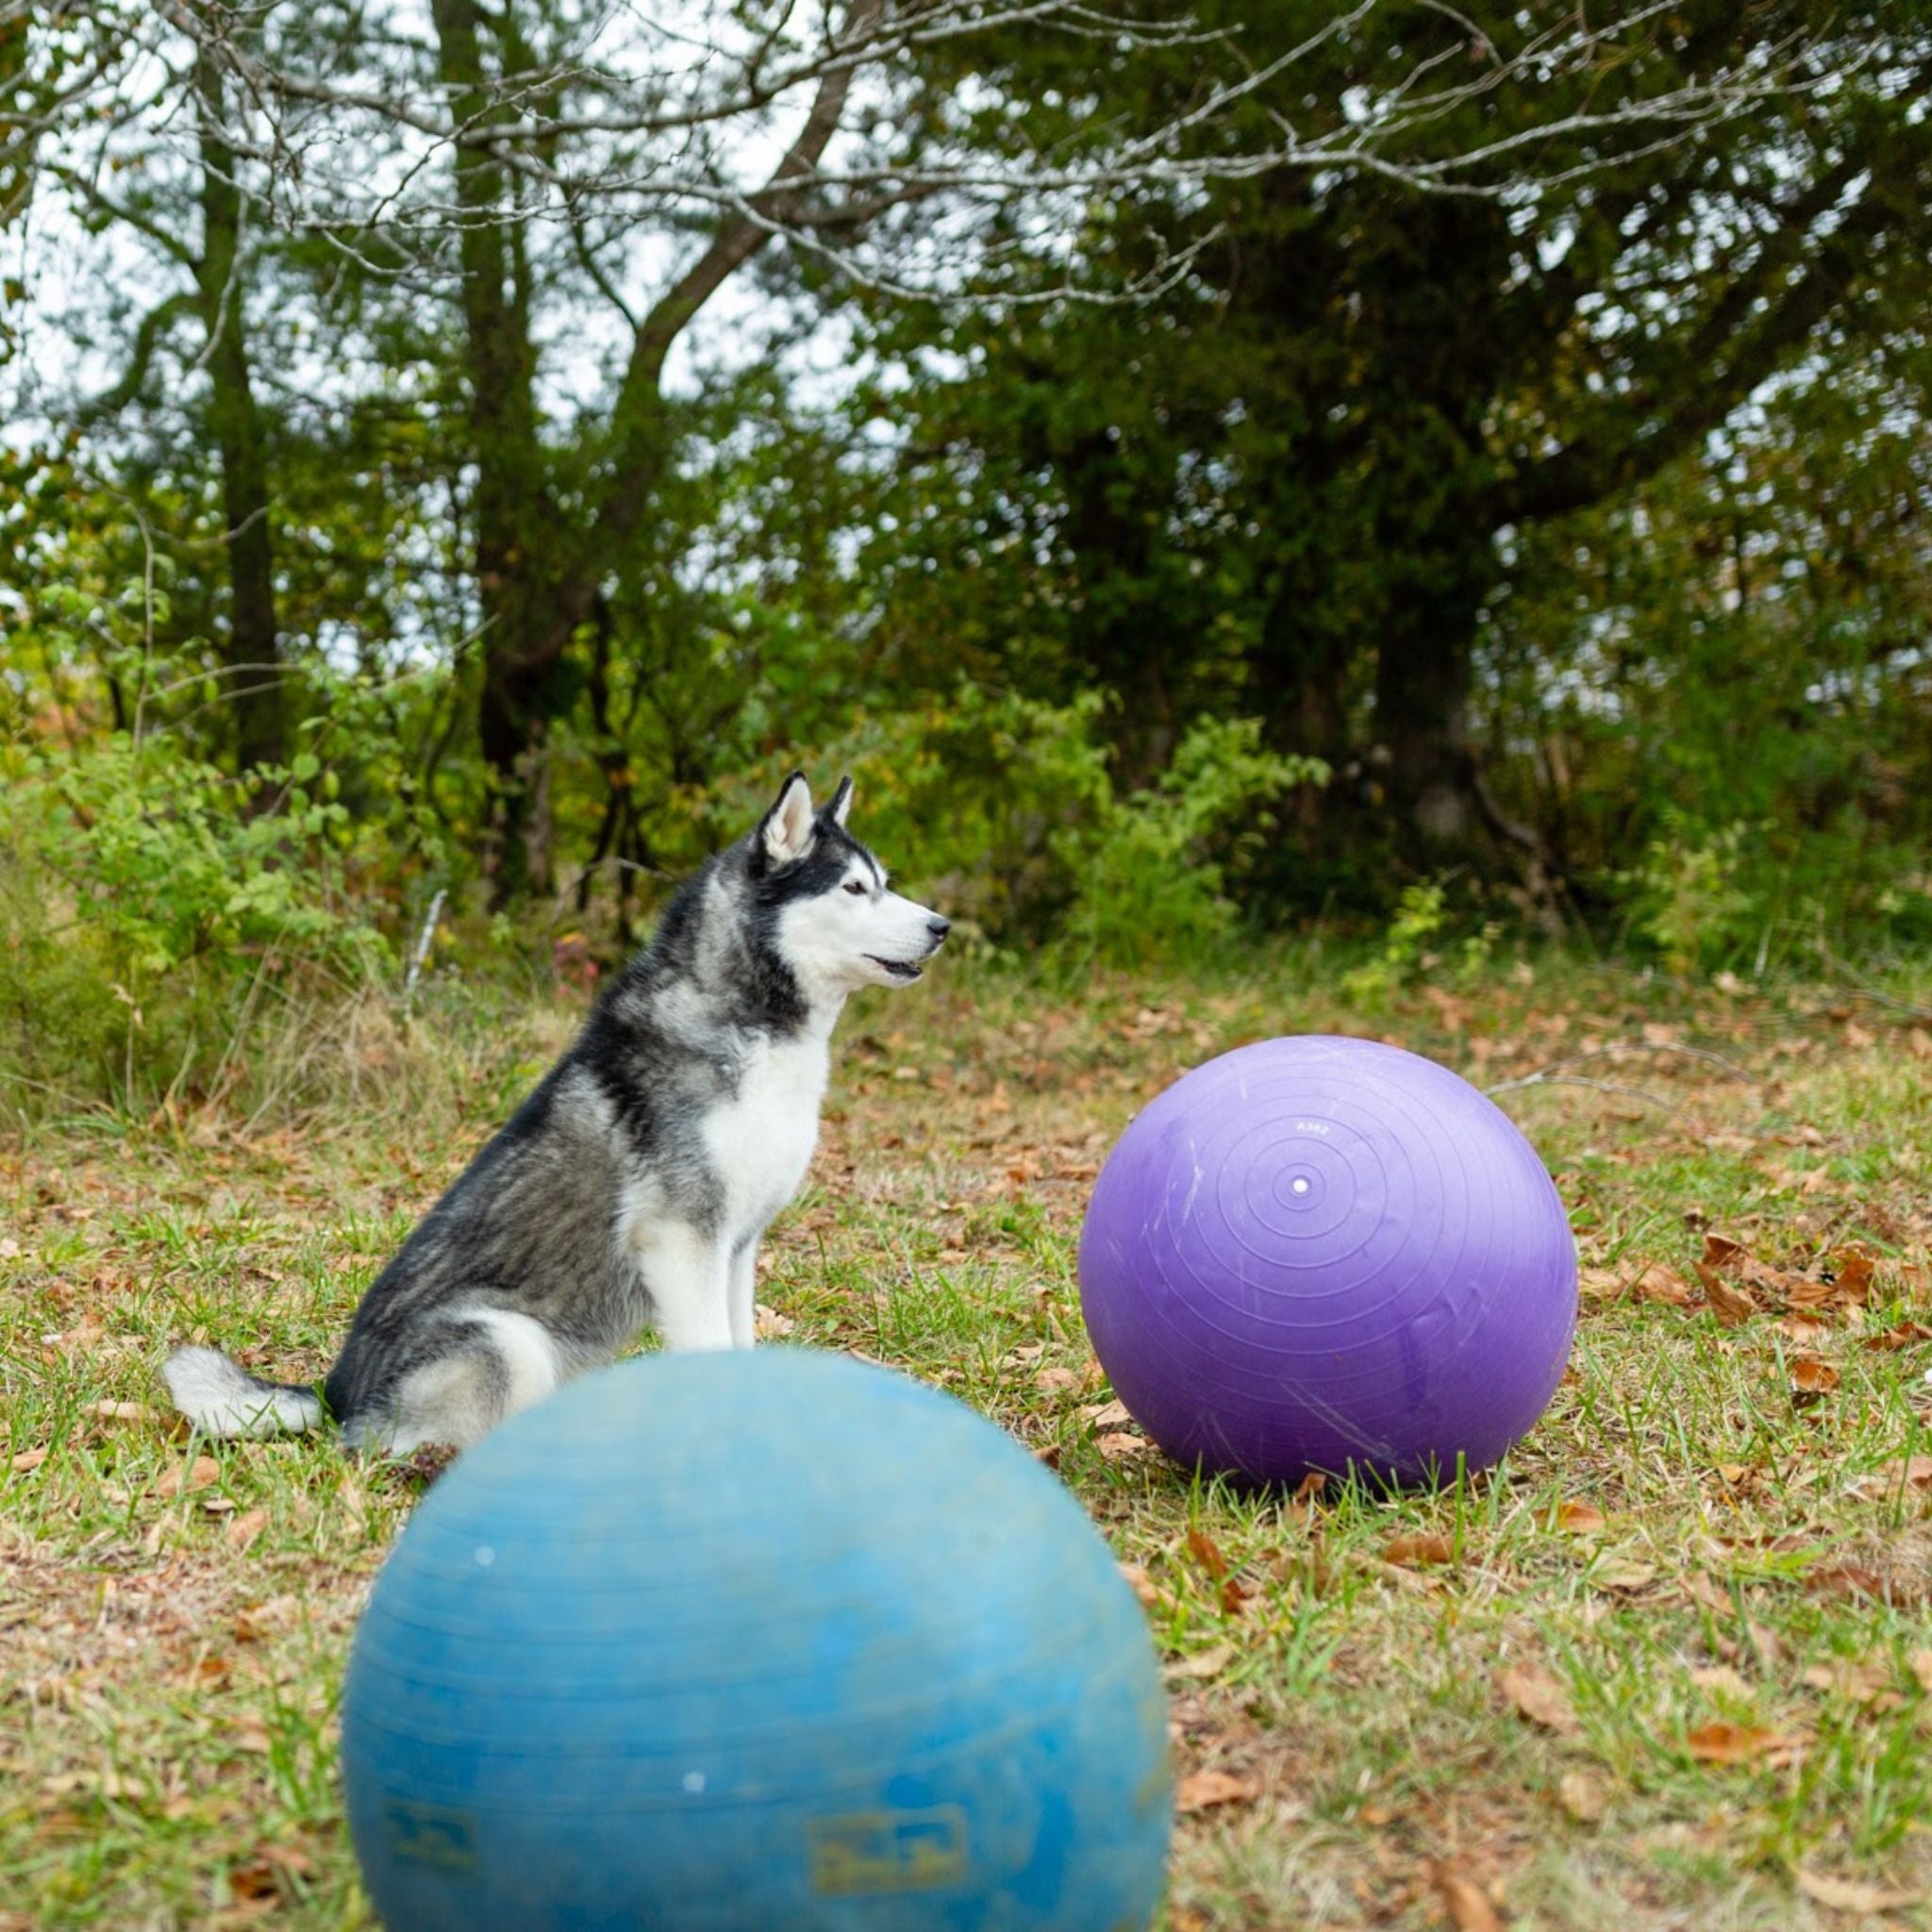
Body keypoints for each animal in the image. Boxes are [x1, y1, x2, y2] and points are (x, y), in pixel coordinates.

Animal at [162, 769, 946, 1453]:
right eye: (854, 887)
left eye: (884, 882)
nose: (942, 925)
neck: (754, 1027)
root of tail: (335, 1394)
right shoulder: (681, 1241)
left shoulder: (736, 1245)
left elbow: (740, 1345)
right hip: (506, 1337)